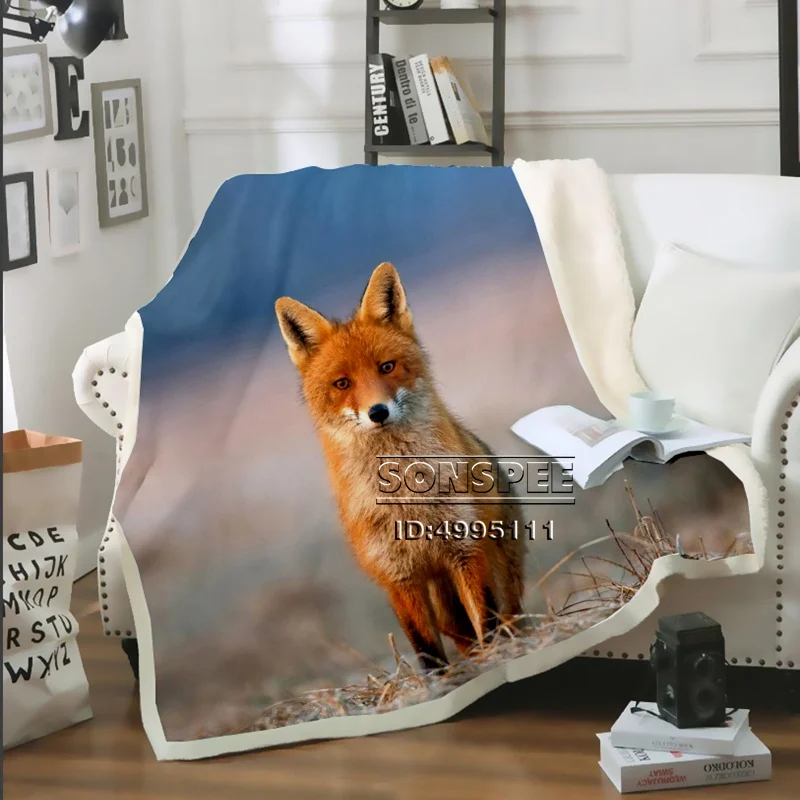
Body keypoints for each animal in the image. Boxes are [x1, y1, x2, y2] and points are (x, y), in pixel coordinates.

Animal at [275, 262, 525, 669]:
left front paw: (496, 662)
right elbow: (426, 650)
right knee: (460, 634)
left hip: (499, 574)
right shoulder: (398, 577)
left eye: (387, 367)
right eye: (342, 383)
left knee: (505, 616)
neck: (409, 499)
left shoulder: (467, 552)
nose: (377, 412)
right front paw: (444, 683)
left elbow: (486, 621)